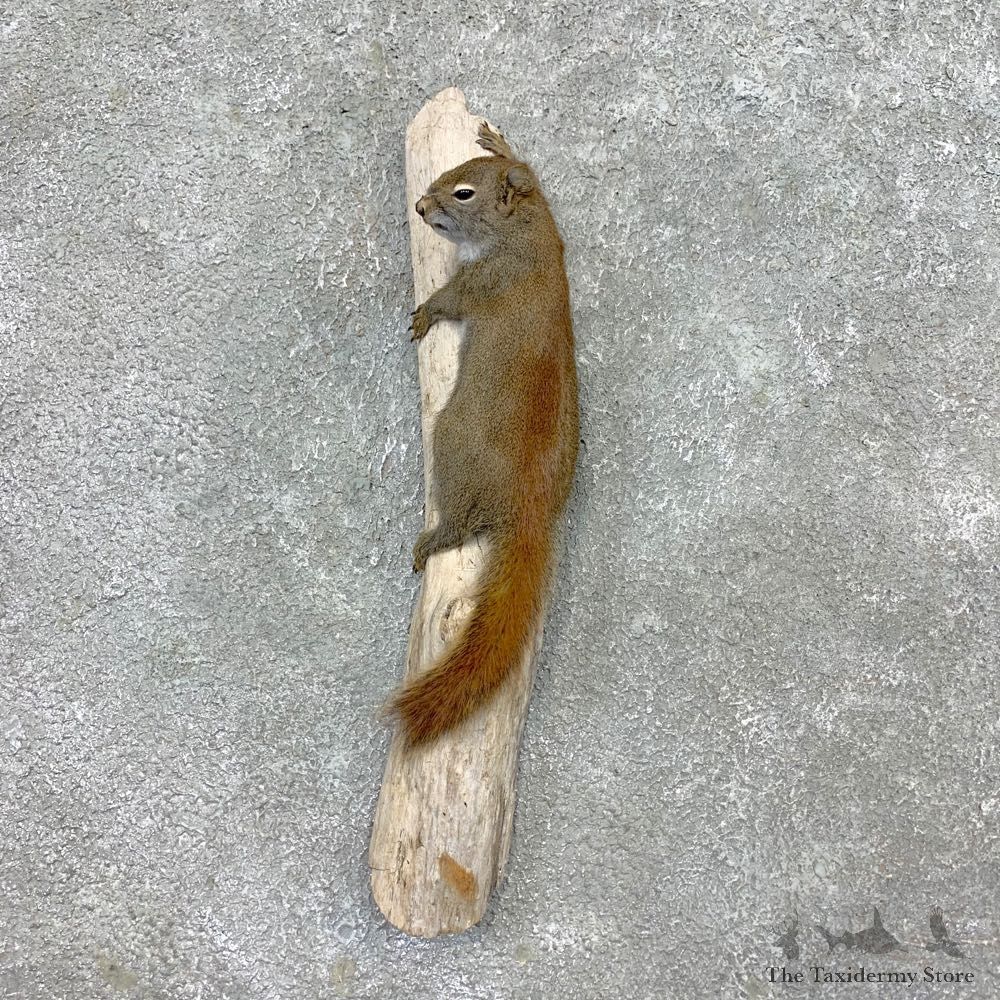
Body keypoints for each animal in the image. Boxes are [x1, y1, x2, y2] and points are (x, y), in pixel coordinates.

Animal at [385, 122, 579, 746]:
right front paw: (500, 140)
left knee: (462, 525)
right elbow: (531, 166)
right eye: (452, 172)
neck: (528, 226)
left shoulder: (483, 283)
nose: (420, 208)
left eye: (463, 193)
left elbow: (450, 299)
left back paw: (434, 539)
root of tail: (528, 508)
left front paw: (425, 312)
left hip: (451, 440)